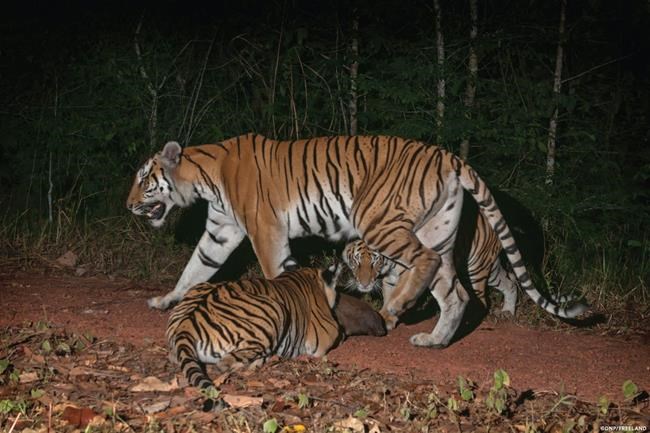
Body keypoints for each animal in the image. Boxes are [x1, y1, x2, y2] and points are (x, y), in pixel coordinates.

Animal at [128, 134, 588, 348]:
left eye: (144, 179)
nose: (129, 205)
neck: (203, 178)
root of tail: (450, 155)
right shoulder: (221, 231)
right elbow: (195, 268)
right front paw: (165, 300)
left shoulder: (264, 230)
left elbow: (276, 273)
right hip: (438, 231)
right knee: (454, 291)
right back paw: (433, 339)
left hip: (381, 220)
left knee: (425, 264)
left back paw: (395, 307)